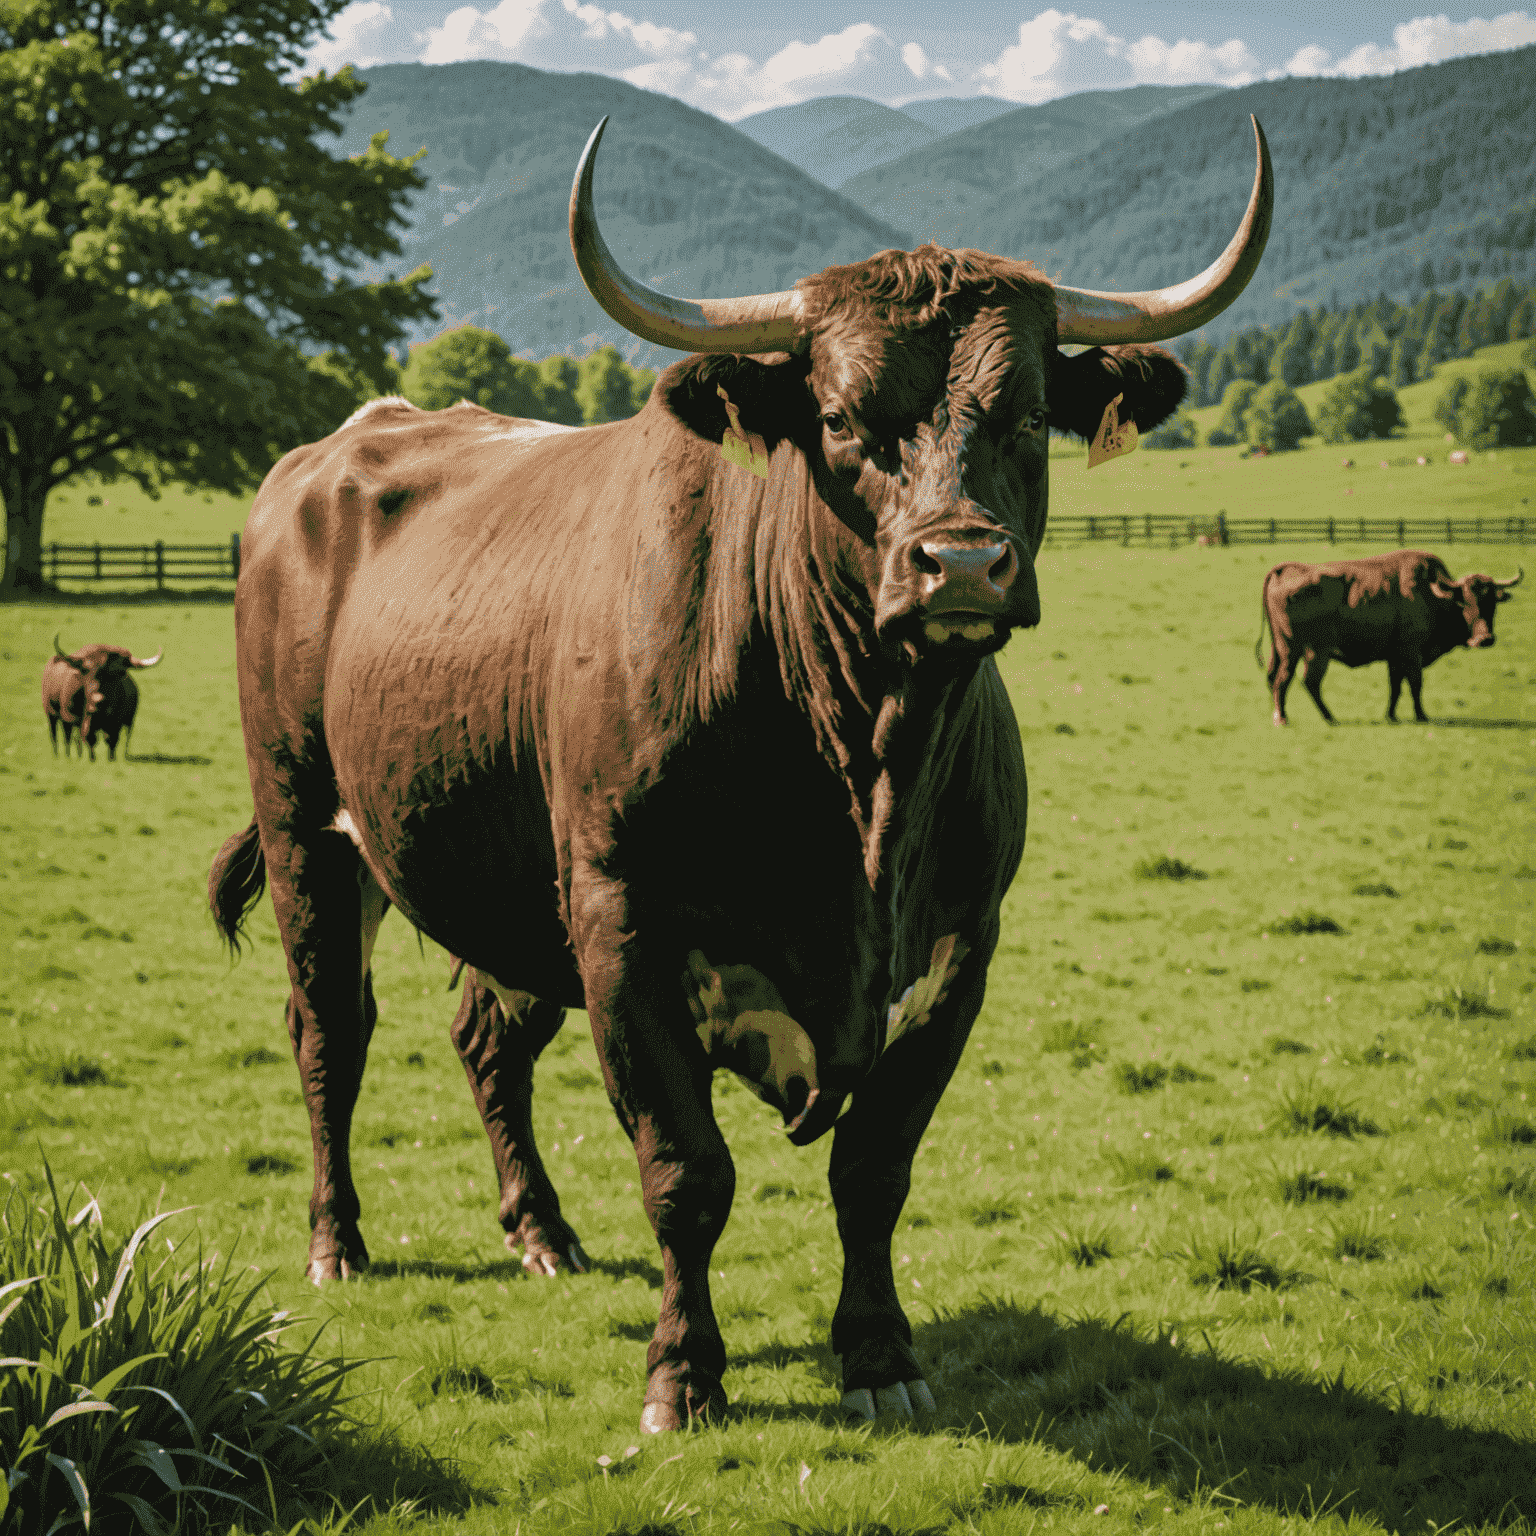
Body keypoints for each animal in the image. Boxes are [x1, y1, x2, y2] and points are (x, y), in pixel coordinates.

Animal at [210, 113, 1271, 1431]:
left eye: (1029, 414)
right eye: (843, 419)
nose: (962, 563)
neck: (864, 770)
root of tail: (344, 445)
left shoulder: (961, 950)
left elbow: (875, 1170)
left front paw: (878, 1356)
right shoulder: (621, 927)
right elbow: (685, 1172)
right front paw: (684, 1375)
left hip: (495, 876)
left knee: (486, 1039)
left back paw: (541, 1232)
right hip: (309, 828)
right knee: (329, 1031)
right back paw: (338, 1242)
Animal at [1259, 549, 1523, 721]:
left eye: (1493, 603)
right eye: (1465, 602)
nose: (1485, 639)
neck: (1432, 594)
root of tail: (1285, 570)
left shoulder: (1395, 658)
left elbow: (1395, 686)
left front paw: (1391, 715)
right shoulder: (1411, 654)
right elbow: (1415, 684)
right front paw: (1421, 715)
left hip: (1283, 649)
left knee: (1276, 678)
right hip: (1304, 651)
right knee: (1296, 680)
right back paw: (1305, 718)